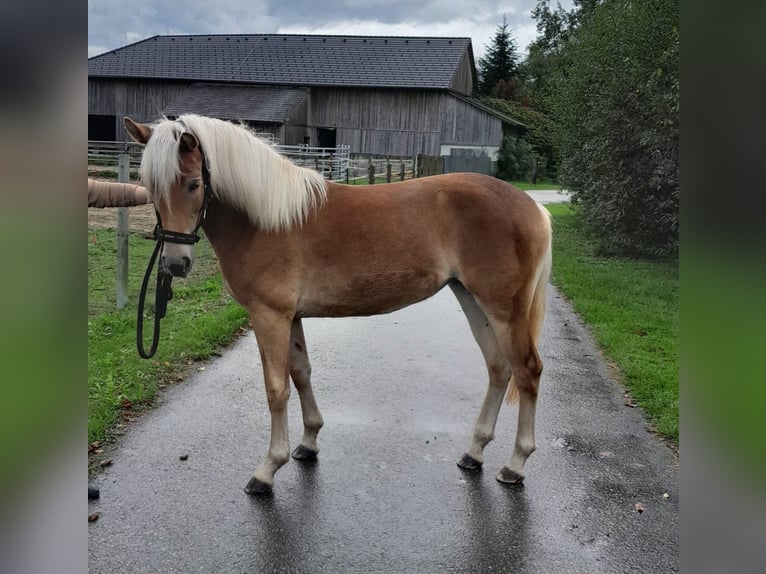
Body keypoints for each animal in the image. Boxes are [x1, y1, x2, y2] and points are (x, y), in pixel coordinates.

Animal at [127, 113, 560, 496]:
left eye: (193, 184)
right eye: (148, 185)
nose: (175, 264)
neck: (265, 219)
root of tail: (534, 208)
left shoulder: (269, 316)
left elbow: (276, 388)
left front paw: (268, 469)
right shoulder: (291, 317)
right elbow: (301, 373)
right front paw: (308, 443)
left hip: (504, 309)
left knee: (527, 371)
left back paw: (515, 465)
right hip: (472, 299)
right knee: (498, 368)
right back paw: (474, 452)